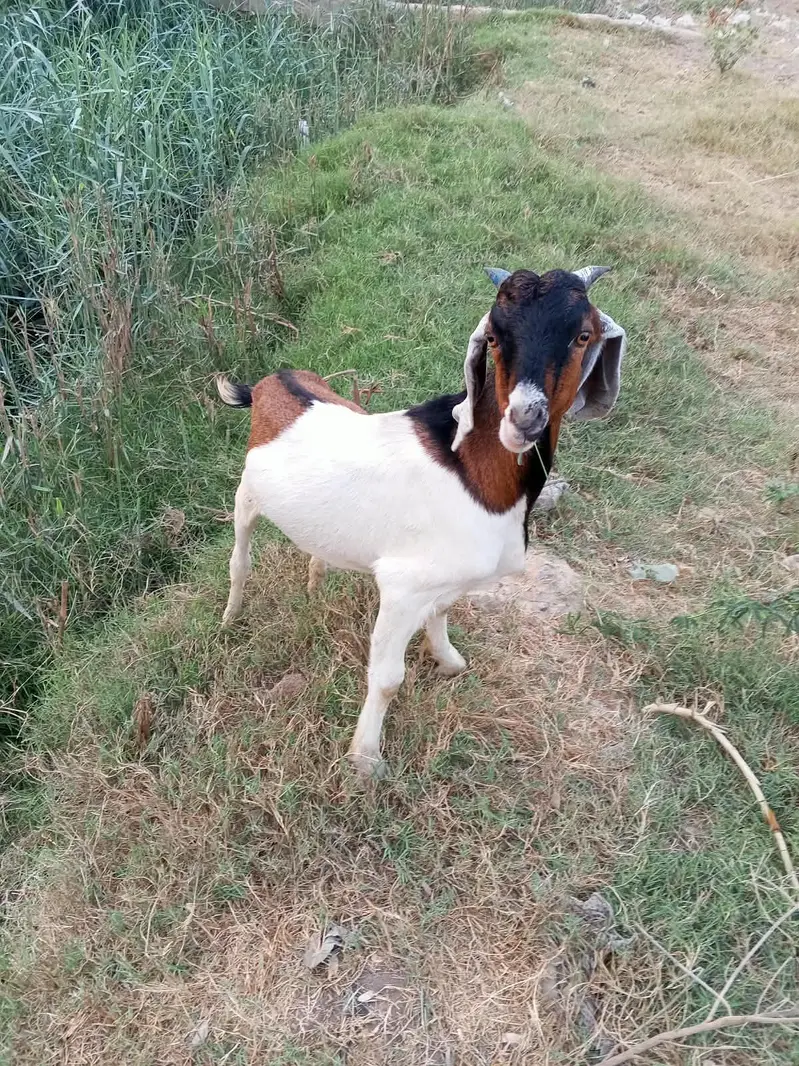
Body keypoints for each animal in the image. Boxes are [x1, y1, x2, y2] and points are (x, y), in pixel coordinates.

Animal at [216, 266, 626, 778]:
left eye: (583, 335)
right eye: (494, 336)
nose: (523, 418)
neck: (473, 471)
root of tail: (272, 379)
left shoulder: (445, 580)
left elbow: (443, 613)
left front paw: (448, 661)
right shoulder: (403, 586)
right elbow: (388, 677)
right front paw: (366, 760)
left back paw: (314, 584)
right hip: (246, 497)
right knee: (240, 560)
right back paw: (230, 619)